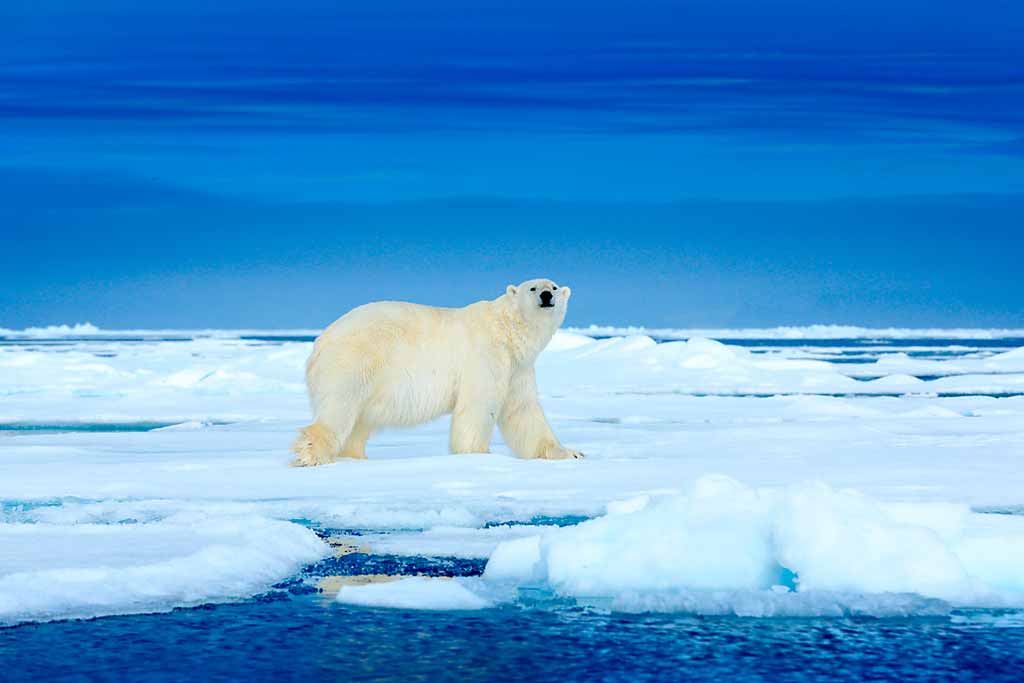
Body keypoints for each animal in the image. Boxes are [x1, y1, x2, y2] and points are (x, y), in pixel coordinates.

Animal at [291, 278, 583, 466]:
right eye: (532, 287)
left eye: (554, 286)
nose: (547, 296)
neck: (507, 331)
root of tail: (320, 341)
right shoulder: (485, 355)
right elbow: (478, 405)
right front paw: (476, 454)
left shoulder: (517, 368)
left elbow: (523, 411)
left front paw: (570, 453)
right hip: (354, 360)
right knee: (339, 407)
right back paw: (312, 454)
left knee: (357, 422)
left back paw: (354, 456)